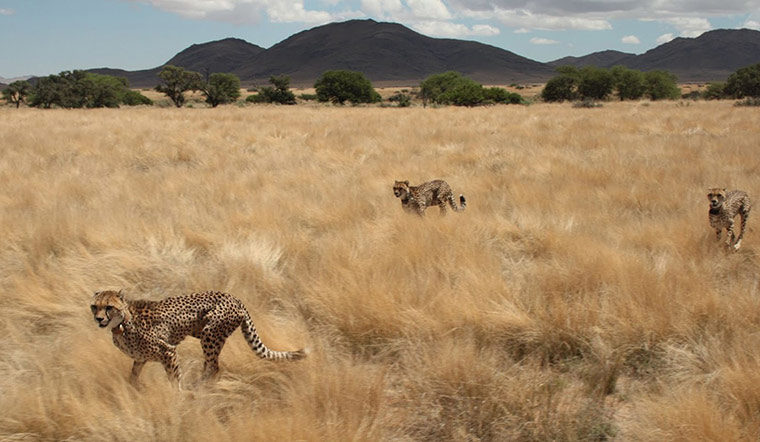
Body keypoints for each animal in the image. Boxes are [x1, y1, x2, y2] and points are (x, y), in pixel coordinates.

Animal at [90, 290, 306, 387]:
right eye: (94, 306)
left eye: (109, 307)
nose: (98, 318)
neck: (121, 324)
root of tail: (234, 298)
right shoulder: (140, 358)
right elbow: (132, 377)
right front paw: (134, 391)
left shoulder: (168, 351)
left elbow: (174, 378)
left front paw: (177, 398)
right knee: (210, 365)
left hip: (210, 333)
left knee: (214, 366)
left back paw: (198, 387)